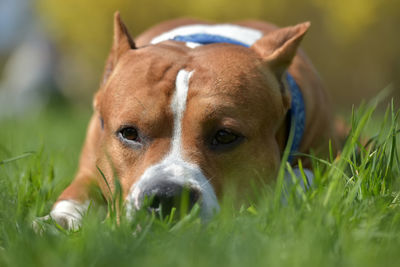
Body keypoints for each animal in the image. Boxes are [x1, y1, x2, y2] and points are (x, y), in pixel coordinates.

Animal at [47, 12, 336, 230]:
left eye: (225, 136)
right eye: (129, 133)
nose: (166, 197)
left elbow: (299, 178)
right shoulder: (90, 167)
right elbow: (75, 196)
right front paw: (53, 225)